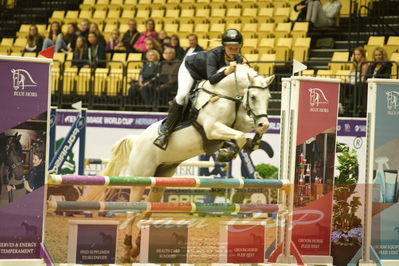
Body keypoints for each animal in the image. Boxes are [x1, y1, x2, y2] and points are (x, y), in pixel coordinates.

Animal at [97, 64, 276, 260]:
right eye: (253, 97)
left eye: (268, 98)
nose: (264, 124)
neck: (224, 93)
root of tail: (137, 141)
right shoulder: (213, 128)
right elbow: (240, 136)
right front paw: (226, 153)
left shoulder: (238, 123)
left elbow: (244, 131)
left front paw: (252, 142)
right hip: (141, 176)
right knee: (132, 211)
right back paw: (127, 250)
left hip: (160, 179)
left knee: (148, 209)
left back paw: (137, 248)